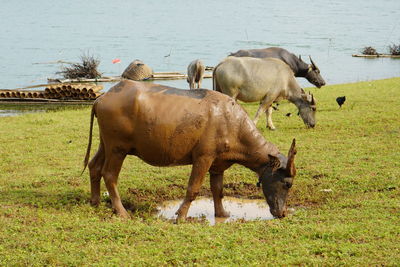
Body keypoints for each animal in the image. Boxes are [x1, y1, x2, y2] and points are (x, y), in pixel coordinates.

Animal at [82, 80, 296, 221]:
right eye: (287, 184)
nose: (283, 213)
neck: (232, 123)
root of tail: (103, 97)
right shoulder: (203, 157)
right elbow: (193, 188)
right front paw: (181, 216)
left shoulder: (218, 164)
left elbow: (218, 190)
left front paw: (222, 214)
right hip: (118, 148)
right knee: (109, 174)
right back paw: (121, 212)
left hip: (105, 144)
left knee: (94, 166)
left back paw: (95, 201)